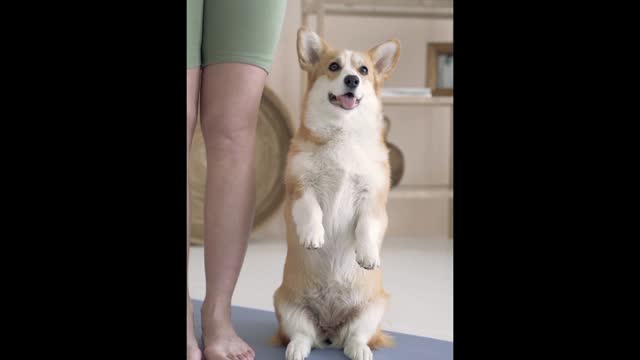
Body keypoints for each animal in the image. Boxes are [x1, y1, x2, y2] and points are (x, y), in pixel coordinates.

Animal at [274, 27, 402, 360]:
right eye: (334, 67)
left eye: (364, 70)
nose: (352, 80)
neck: (342, 133)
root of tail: (330, 329)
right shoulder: (300, 187)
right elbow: (311, 210)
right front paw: (313, 236)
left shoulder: (373, 198)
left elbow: (367, 227)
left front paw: (367, 255)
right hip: (287, 307)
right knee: (304, 335)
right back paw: (296, 349)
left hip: (373, 310)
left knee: (354, 337)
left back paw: (359, 350)